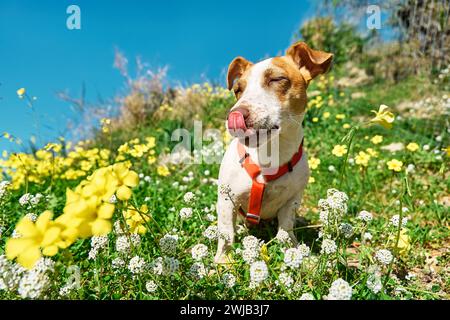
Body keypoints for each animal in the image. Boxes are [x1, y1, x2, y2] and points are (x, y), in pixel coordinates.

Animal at [214, 41, 334, 264]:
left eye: (277, 79)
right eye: (237, 89)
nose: (234, 115)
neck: (269, 155)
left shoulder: (291, 201)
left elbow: (286, 229)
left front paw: (294, 251)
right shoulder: (226, 201)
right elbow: (226, 233)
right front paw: (223, 261)